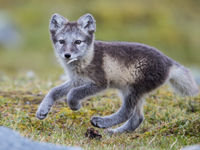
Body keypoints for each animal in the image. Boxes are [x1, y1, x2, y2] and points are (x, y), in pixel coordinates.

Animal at [35, 13, 198, 133]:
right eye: (61, 41)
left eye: (77, 42)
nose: (67, 55)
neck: (87, 59)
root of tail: (168, 61)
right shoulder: (77, 80)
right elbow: (54, 91)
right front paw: (42, 110)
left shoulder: (100, 83)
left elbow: (73, 93)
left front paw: (75, 106)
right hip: (130, 90)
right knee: (137, 118)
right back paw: (113, 133)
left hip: (133, 90)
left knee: (127, 112)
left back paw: (101, 123)